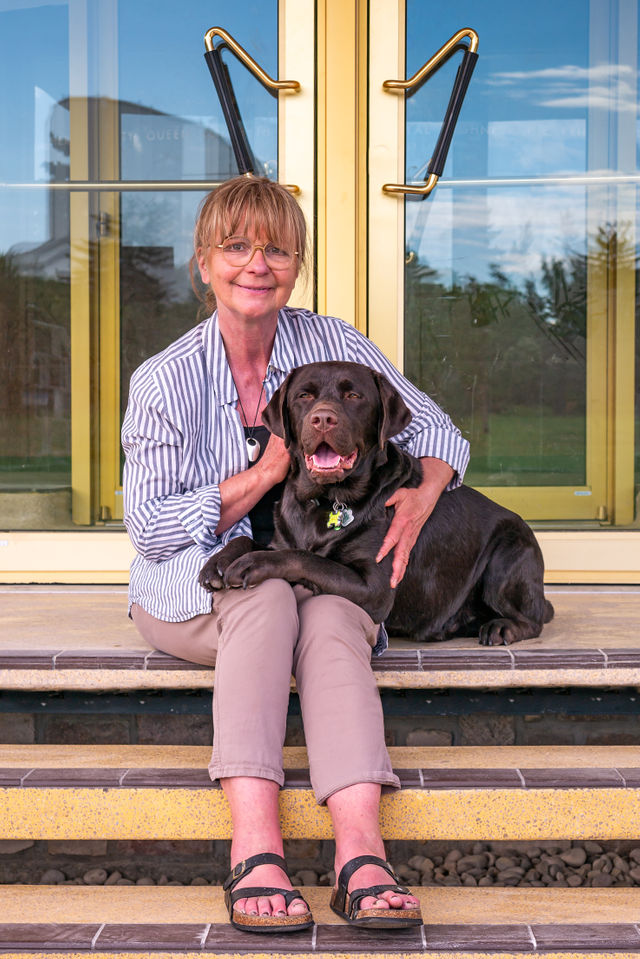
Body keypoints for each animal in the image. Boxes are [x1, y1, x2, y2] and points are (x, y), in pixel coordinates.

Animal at [198, 360, 552, 644]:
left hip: (507, 555)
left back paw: (501, 627)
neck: (325, 501)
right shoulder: (281, 538)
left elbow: (305, 557)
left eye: (354, 396)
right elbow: (252, 540)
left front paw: (251, 564)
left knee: (532, 618)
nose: (322, 419)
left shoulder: (374, 587)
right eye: (304, 396)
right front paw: (219, 561)